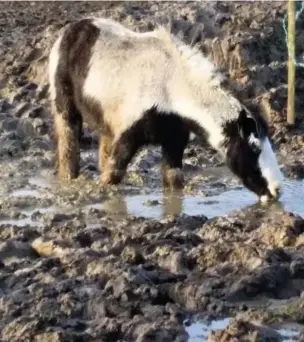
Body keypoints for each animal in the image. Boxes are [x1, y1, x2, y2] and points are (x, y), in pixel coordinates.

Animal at [47, 18, 282, 203]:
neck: (172, 85)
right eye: (253, 146)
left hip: (106, 121)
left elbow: (174, 180)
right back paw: (68, 180)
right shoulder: (129, 135)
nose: (276, 191)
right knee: (68, 146)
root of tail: (74, 27)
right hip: (65, 107)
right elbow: (114, 173)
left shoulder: (174, 140)